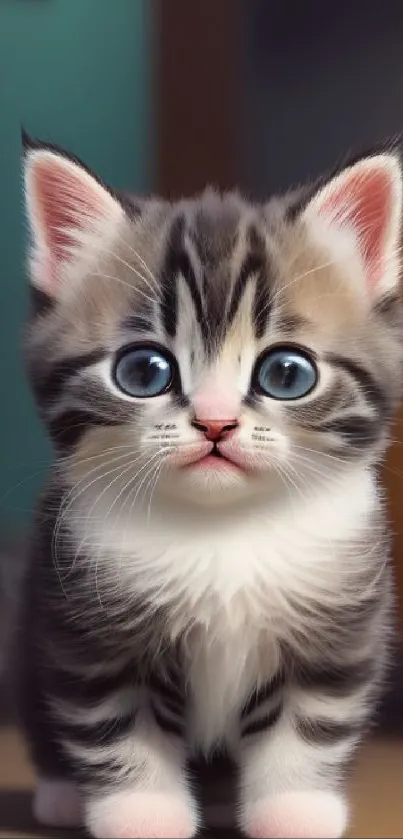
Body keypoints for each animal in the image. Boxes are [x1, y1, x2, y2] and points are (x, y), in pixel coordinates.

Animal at [20, 133, 403, 839]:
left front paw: (294, 811)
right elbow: (117, 722)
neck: (223, 529)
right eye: (144, 371)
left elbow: (309, 722)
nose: (216, 422)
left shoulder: (337, 625)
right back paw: (60, 795)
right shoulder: (89, 629)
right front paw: (141, 814)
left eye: (286, 373)